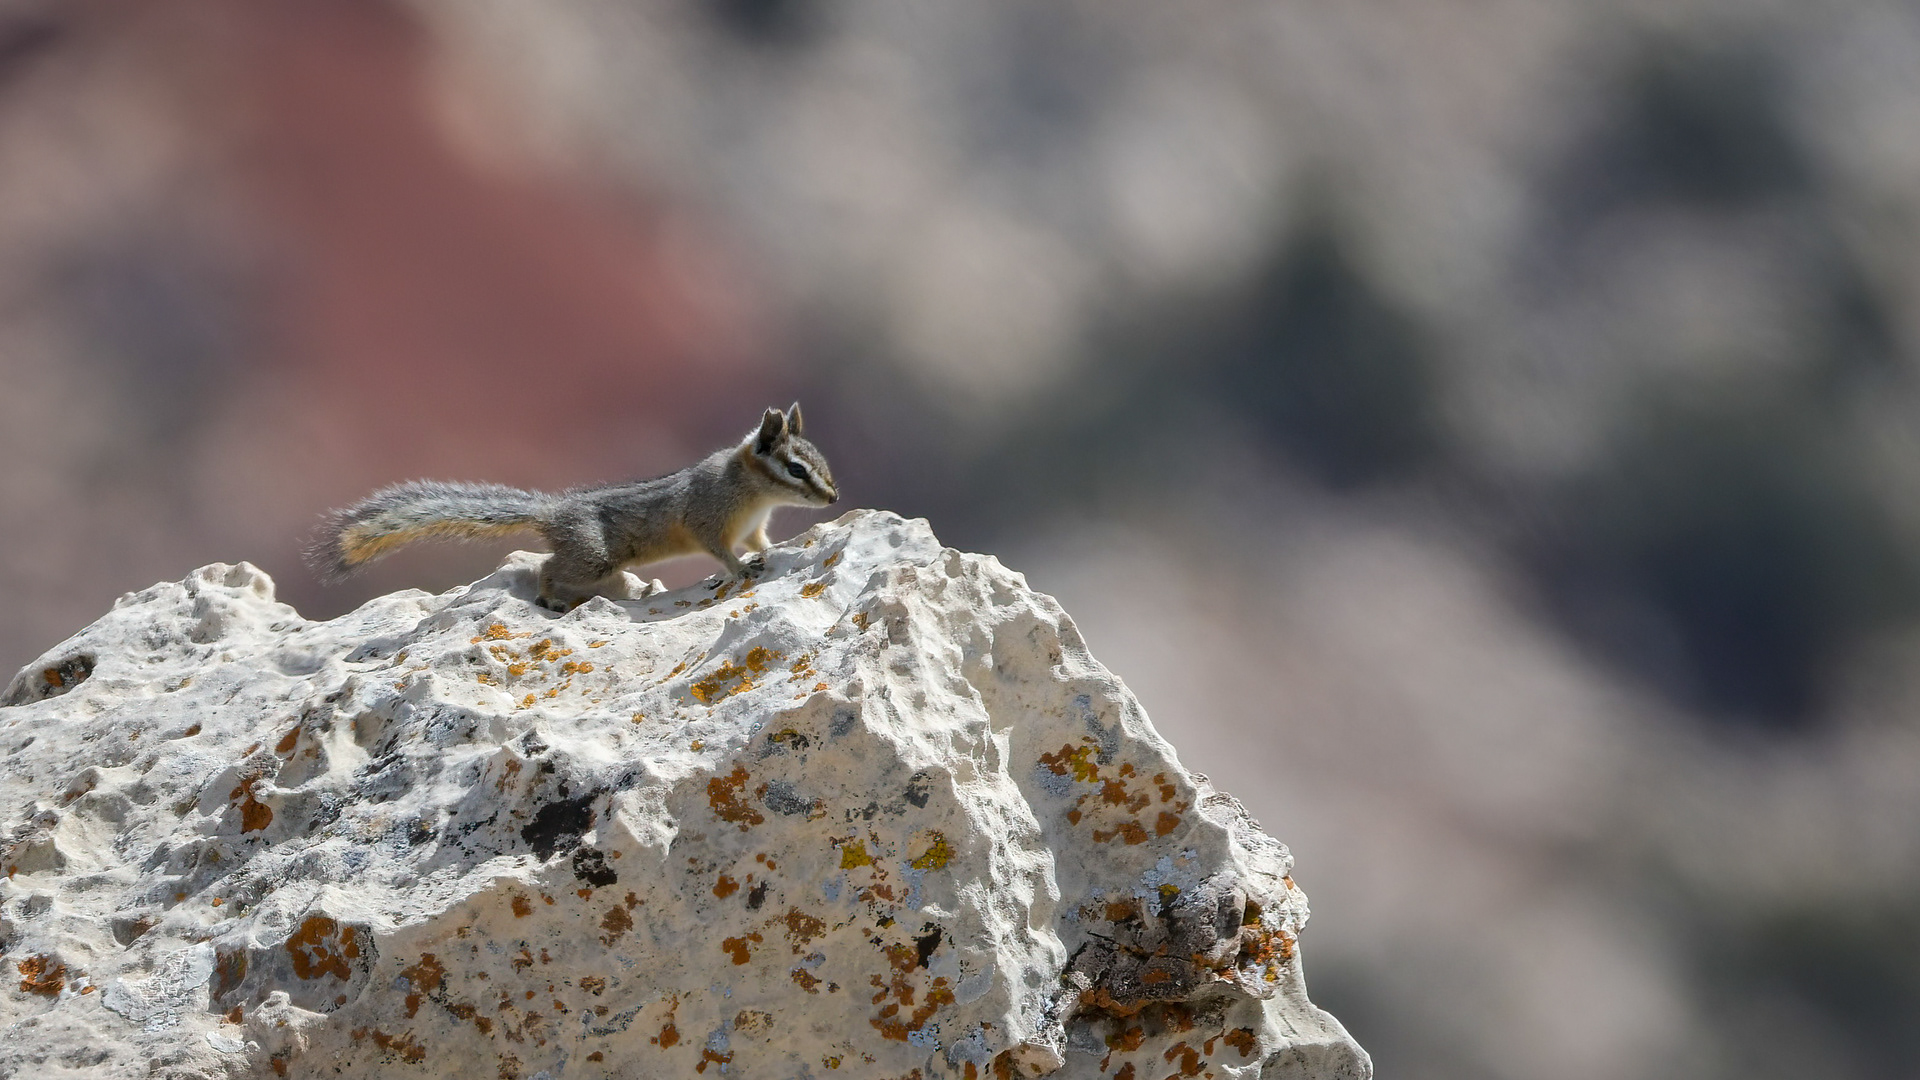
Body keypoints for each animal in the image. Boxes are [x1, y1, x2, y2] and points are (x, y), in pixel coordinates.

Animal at [312, 403, 838, 611]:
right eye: (796, 469)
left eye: (818, 460)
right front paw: (739, 570)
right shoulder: (708, 518)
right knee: (548, 566)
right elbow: (720, 551)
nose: (834, 497)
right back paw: (550, 598)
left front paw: (773, 553)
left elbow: (761, 540)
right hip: (593, 554)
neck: (752, 492)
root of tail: (553, 513)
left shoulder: (752, 526)